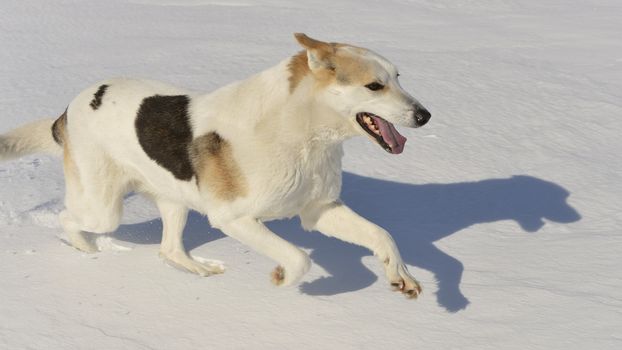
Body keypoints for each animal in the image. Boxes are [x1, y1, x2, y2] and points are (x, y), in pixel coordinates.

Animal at [0, 33, 432, 298]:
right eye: (374, 86)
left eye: (398, 78)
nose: (425, 115)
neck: (302, 132)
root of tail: (67, 111)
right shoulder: (233, 218)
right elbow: (298, 257)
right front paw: (283, 277)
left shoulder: (319, 209)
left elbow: (382, 236)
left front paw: (402, 276)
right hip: (103, 208)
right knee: (69, 220)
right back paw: (87, 249)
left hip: (174, 201)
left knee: (169, 250)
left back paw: (200, 270)